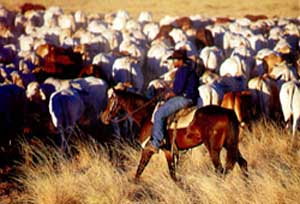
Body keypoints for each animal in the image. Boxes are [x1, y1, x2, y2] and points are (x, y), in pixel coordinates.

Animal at [101, 88, 248, 181]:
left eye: (110, 101)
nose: (103, 117)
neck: (147, 115)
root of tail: (228, 113)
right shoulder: (168, 151)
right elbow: (173, 175)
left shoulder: (147, 149)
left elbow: (139, 170)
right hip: (231, 145)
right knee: (242, 164)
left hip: (214, 149)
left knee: (220, 170)